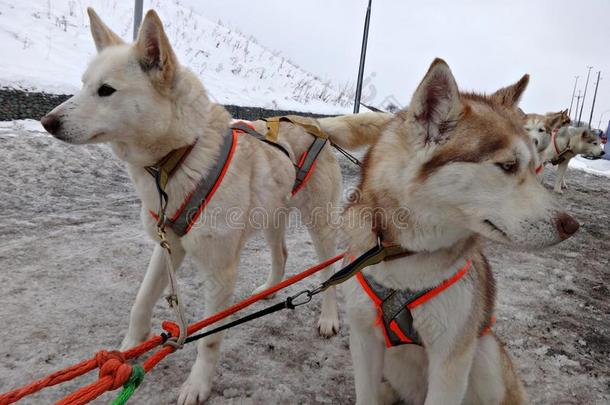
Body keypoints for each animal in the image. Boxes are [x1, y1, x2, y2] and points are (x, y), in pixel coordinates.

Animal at [39, 7, 390, 402]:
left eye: (106, 90)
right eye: (83, 84)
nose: (47, 121)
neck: (180, 157)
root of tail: (314, 123)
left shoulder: (221, 271)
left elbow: (209, 340)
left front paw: (198, 384)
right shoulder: (168, 246)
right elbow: (141, 303)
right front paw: (126, 351)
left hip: (320, 225)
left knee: (330, 272)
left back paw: (328, 318)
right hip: (271, 216)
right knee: (281, 254)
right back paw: (269, 289)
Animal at [340, 58, 576, 402]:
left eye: (535, 167)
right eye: (508, 166)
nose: (572, 225)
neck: (403, 258)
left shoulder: (451, 360)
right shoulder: (363, 339)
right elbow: (365, 394)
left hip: (485, 352)